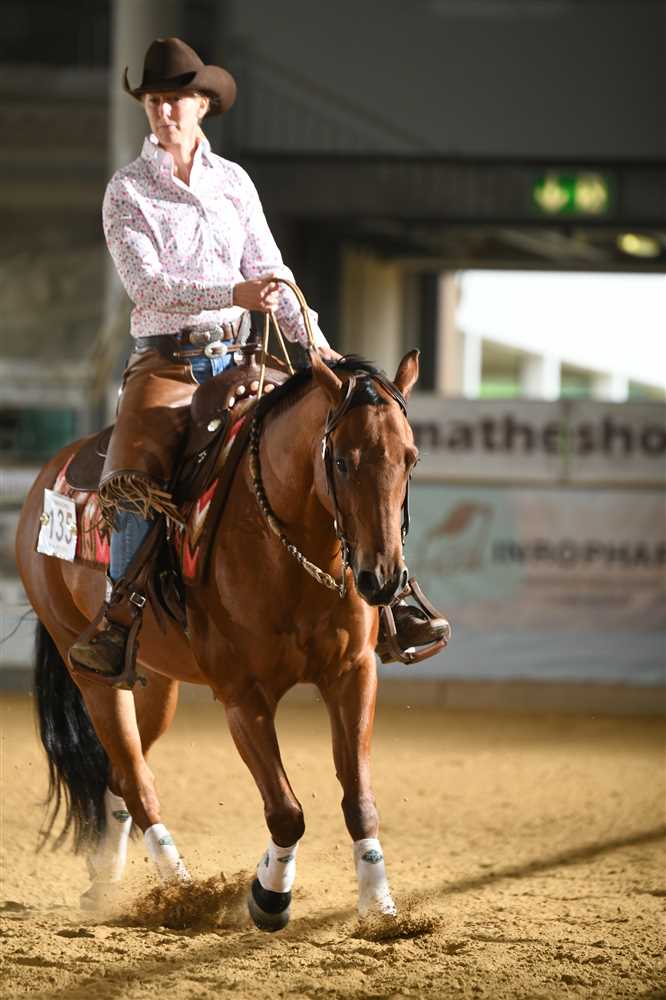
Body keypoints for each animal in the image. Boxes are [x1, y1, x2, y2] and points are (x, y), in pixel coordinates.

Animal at [15, 348, 422, 929]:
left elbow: (359, 799)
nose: (382, 579)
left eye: (410, 458)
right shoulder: (242, 697)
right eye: (342, 461)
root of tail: (49, 476)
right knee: (137, 782)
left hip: (156, 684)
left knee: (120, 774)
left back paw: (107, 882)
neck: (291, 553)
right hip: (91, 675)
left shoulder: (352, 674)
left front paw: (379, 907)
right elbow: (286, 811)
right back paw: (180, 892)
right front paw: (268, 895)